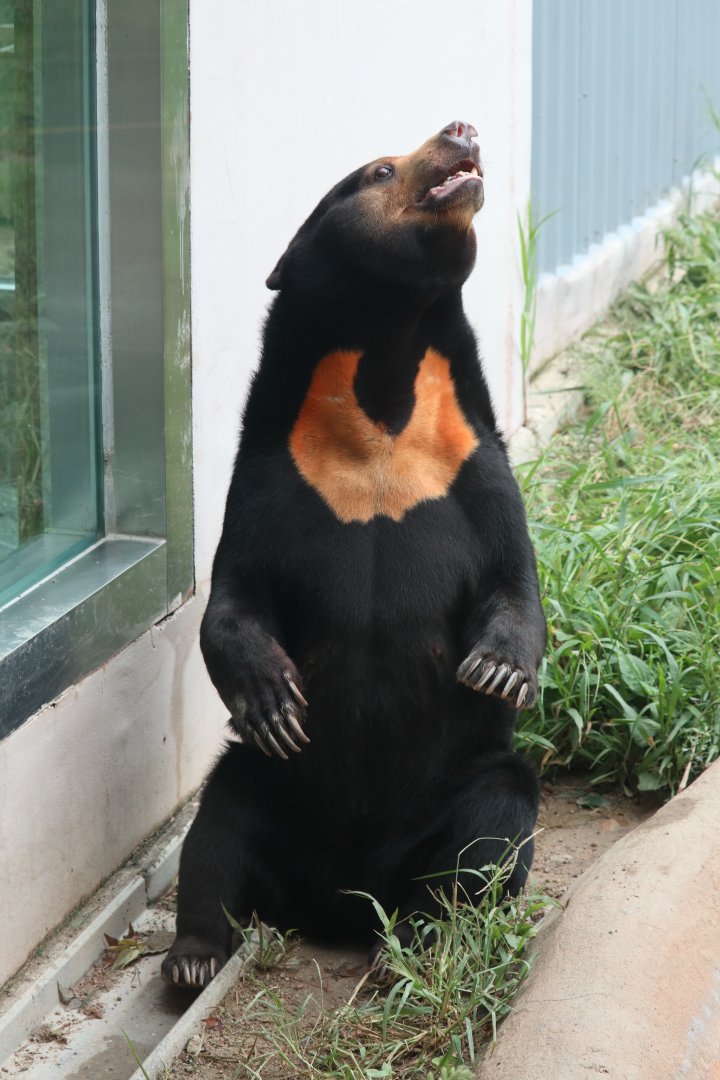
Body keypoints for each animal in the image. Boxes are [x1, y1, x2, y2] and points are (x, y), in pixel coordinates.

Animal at [162, 120, 547, 990]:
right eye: (377, 170)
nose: (463, 129)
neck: (385, 384)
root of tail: (344, 900)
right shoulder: (271, 475)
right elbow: (233, 596)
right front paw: (273, 699)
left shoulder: (474, 467)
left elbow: (514, 577)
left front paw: (496, 669)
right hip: (265, 789)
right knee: (217, 832)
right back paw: (194, 959)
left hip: (471, 785)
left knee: (486, 838)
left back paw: (425, 943)